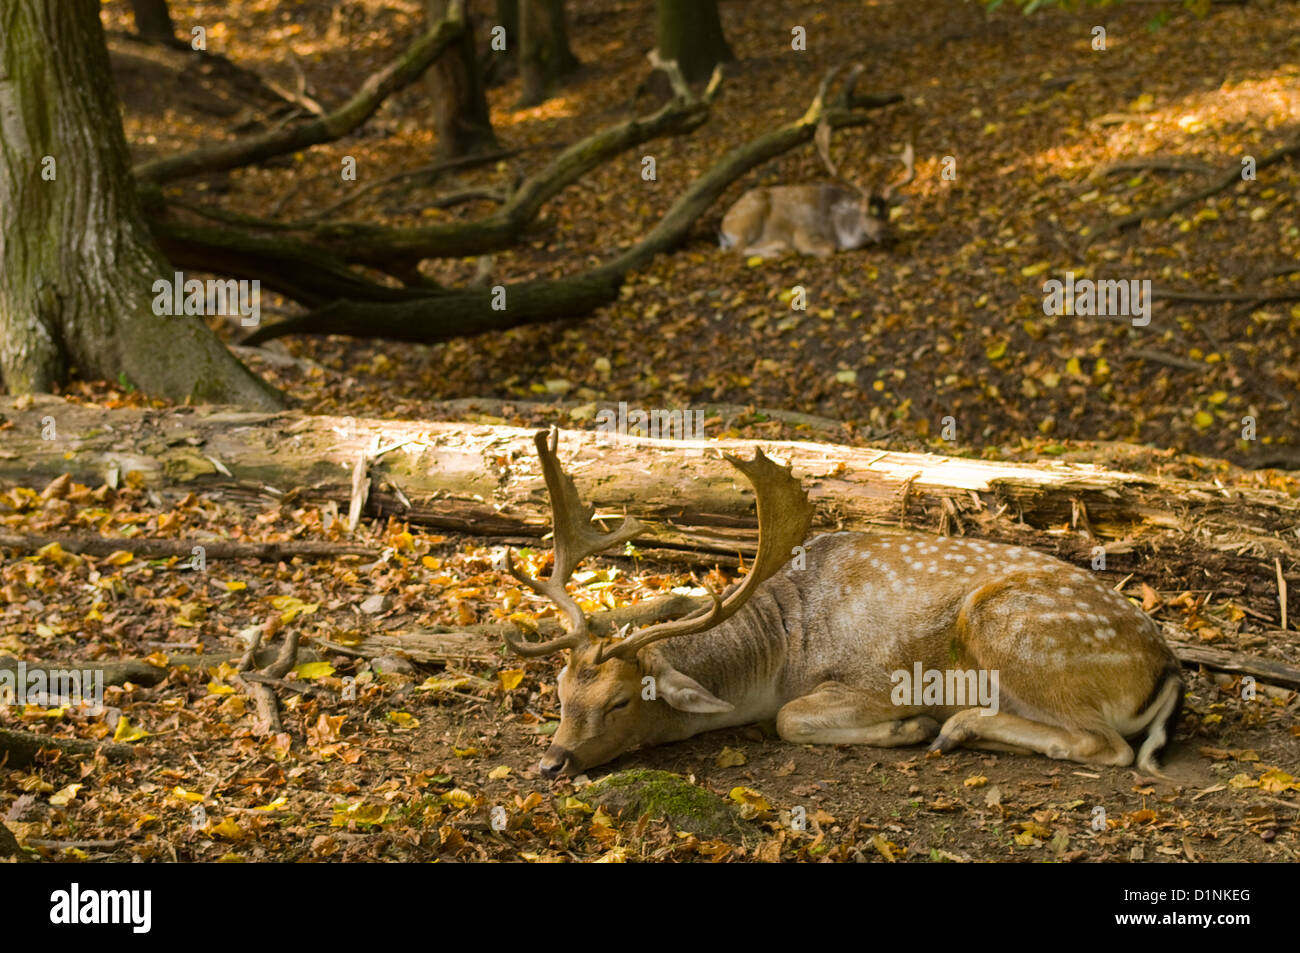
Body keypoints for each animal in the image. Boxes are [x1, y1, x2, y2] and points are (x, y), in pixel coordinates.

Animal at [499, 426, 1190, 774]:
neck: (779, 656)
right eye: (559, 692)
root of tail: (1168, 669)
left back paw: (955, 728)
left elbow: (789, 720)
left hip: (1015, 631)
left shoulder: (877, 679)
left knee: (1110, 746)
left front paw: (910, 726)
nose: (550, 764)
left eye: (619, 702)